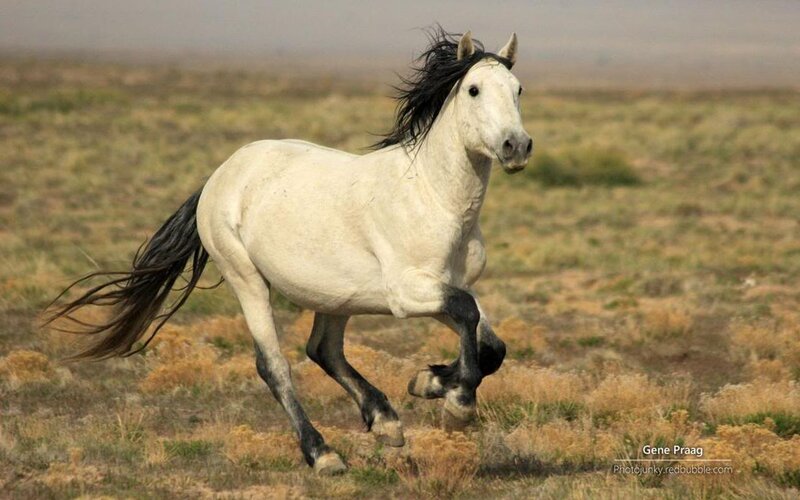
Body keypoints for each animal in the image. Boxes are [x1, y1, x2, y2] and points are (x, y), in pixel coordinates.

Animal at [46, 28, 533, 474]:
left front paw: (427, 381)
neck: (432, 197)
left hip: (338, 296)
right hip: (247, 280)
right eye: (473, 90)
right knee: (274, 365)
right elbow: (468, 314)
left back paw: (386, 422)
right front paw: (456, 405)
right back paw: (323, 454)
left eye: (518, 89)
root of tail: (221, 175)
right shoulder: (407, 293)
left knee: (324, 350)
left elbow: (491, 344)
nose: (517, 146)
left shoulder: (443, 287)